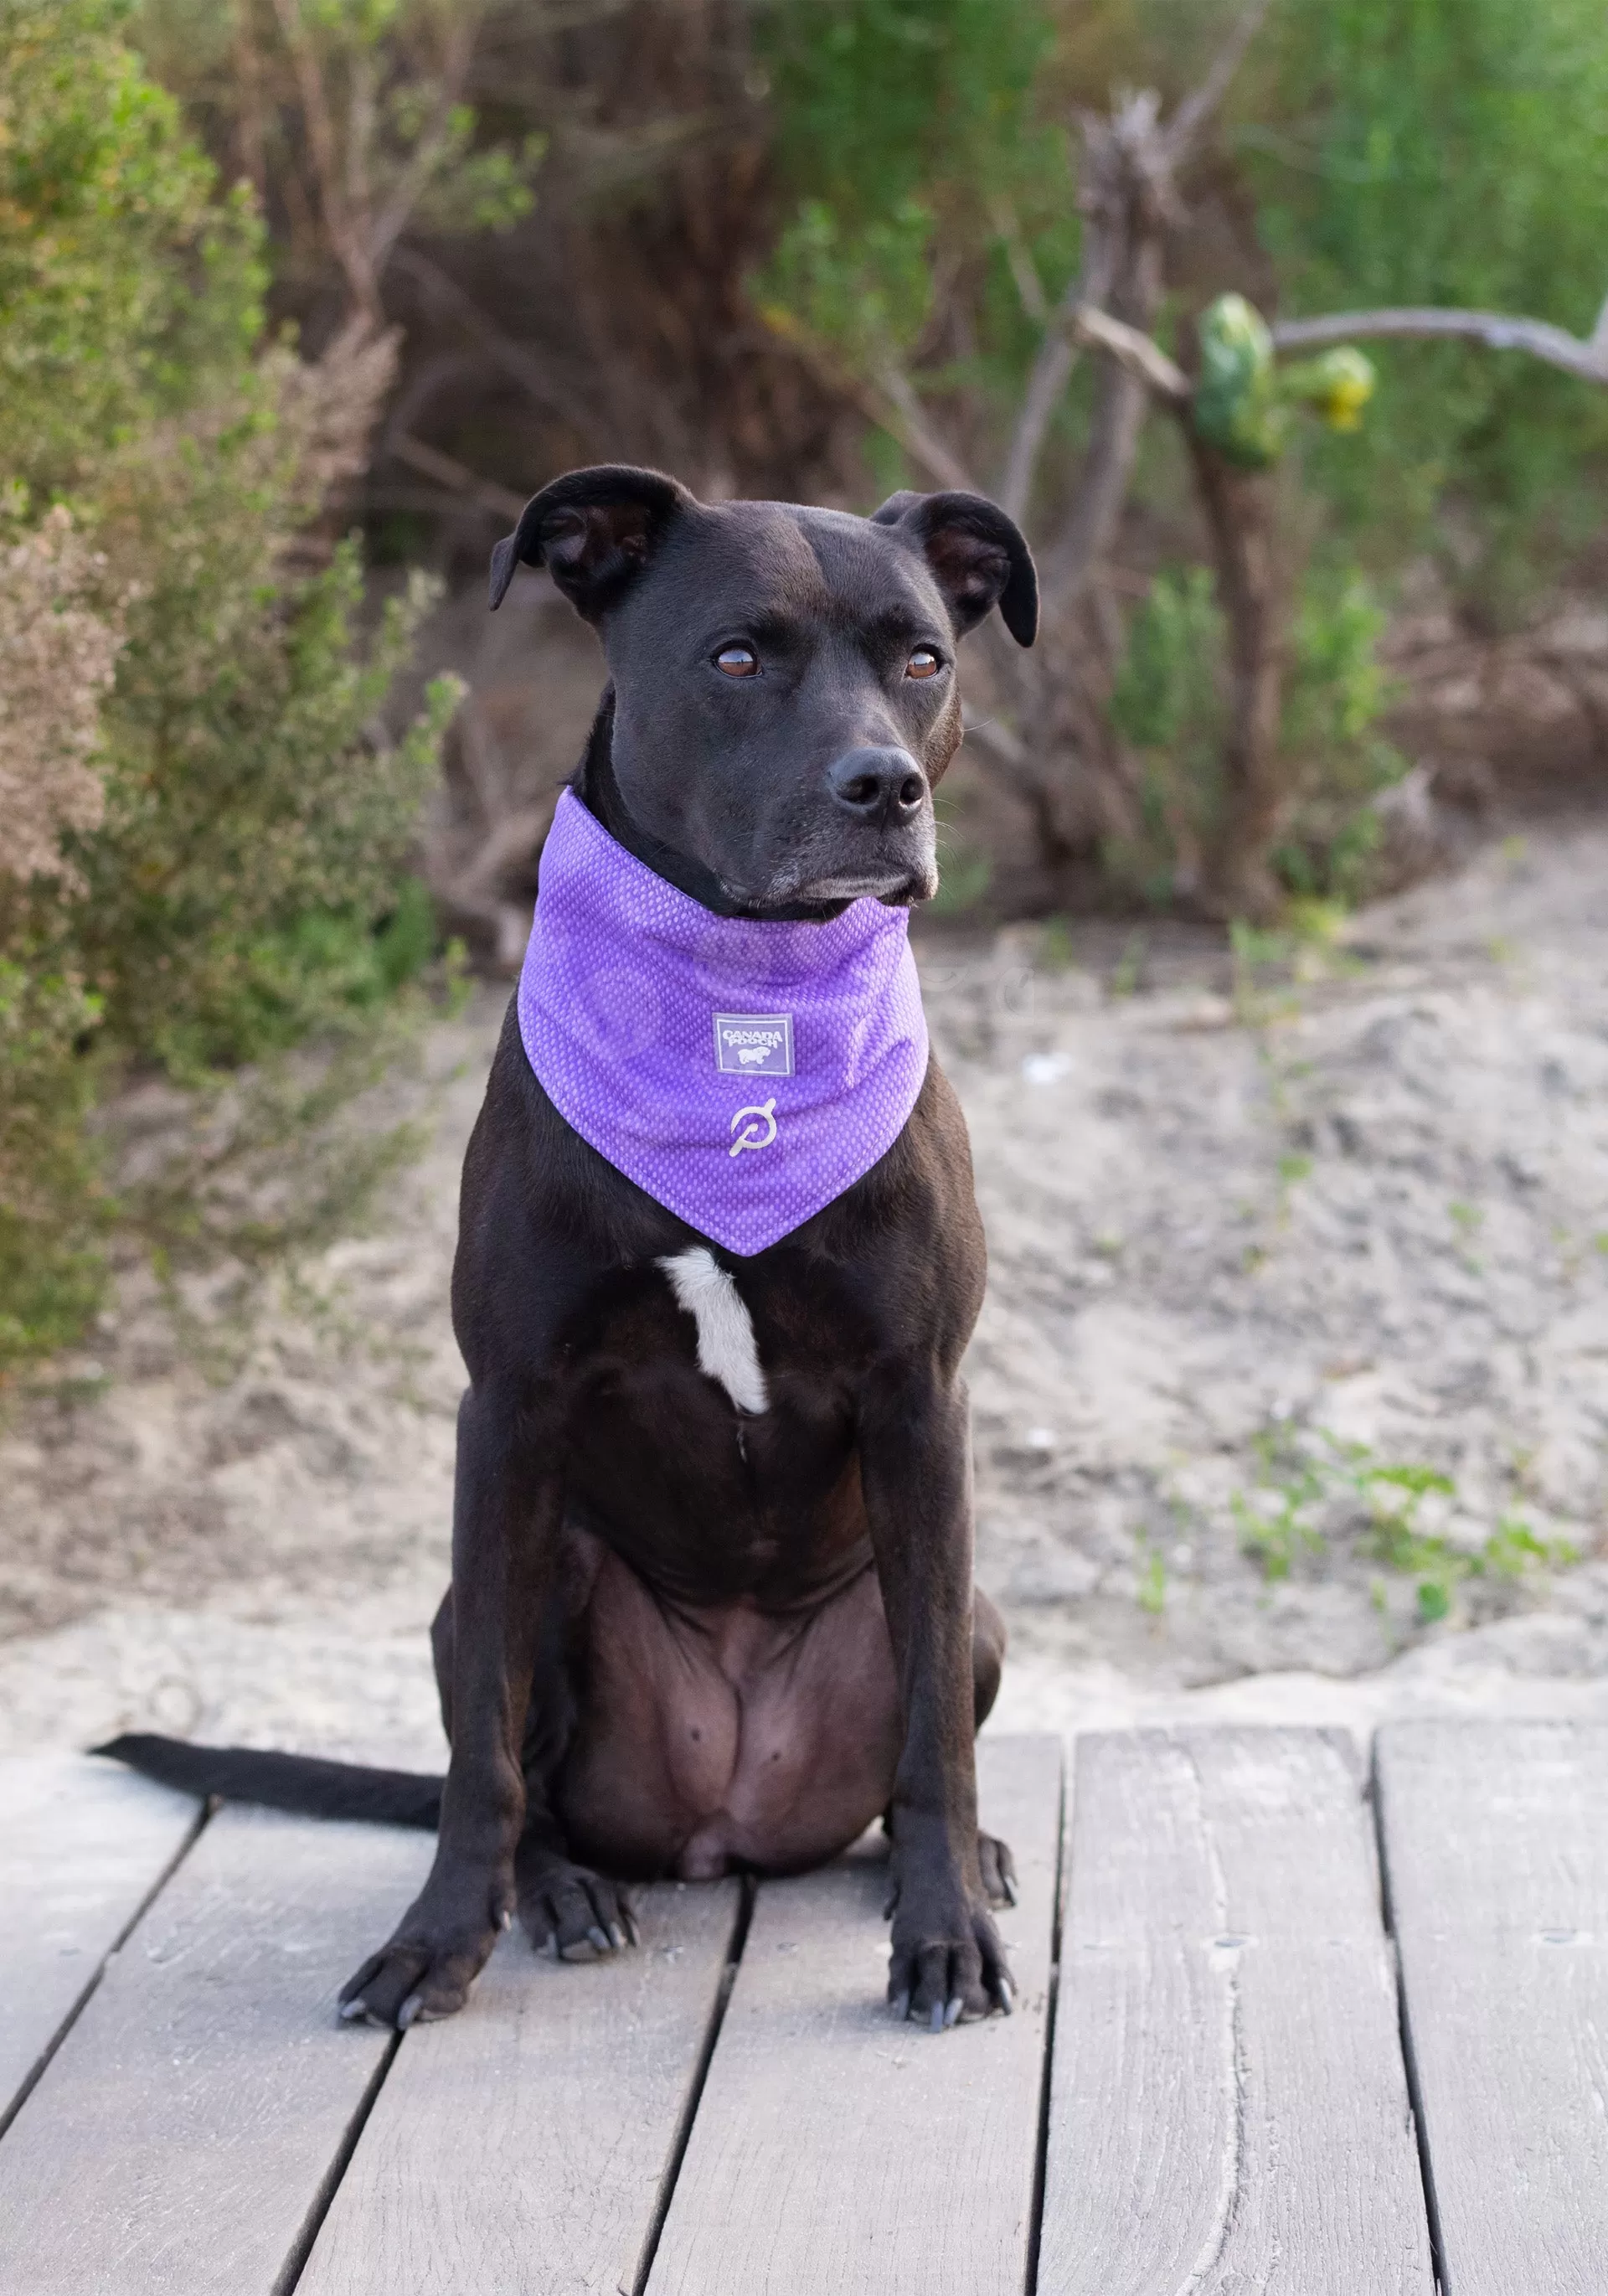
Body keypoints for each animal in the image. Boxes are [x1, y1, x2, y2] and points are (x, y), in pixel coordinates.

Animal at [100, 461, 1038, 2030]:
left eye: (922, 658)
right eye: (737, 658)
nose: (883, 788)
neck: (738, 1009)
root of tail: (727, 1823)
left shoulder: (922, 1405)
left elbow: (932, 1754)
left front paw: (944, 1928)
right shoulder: (509, 1413)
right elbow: (483, 1749)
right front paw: (436, 1939)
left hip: (969, 1608)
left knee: (907, 1757)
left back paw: (969, 1858)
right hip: (537, 1581)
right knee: (526, 1777)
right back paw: (558, 1894)